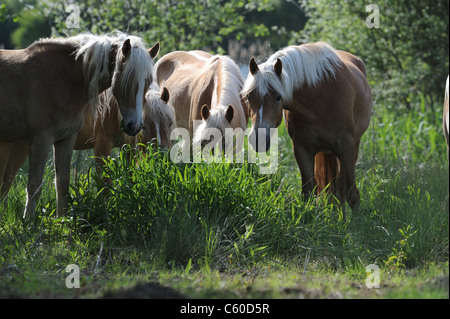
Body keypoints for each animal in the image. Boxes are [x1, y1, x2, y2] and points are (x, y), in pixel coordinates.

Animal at [0, 32, 161, 219]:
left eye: (148, 82)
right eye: (127, 79)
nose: (134, 126)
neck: (62, 79)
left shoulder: (65, 140)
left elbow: (62, 185)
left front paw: (61, 222)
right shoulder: (41, 140)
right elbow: (34, 186)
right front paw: (28, 224)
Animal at [243, 40, 372, 215]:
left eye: (278, 97)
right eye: (249, 97)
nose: (259, 139)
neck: (319, 98)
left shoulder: (346, 147)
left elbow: (352, 194)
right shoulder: (302, 149)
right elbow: (308, 192)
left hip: (352, 147)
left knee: (341, 186)